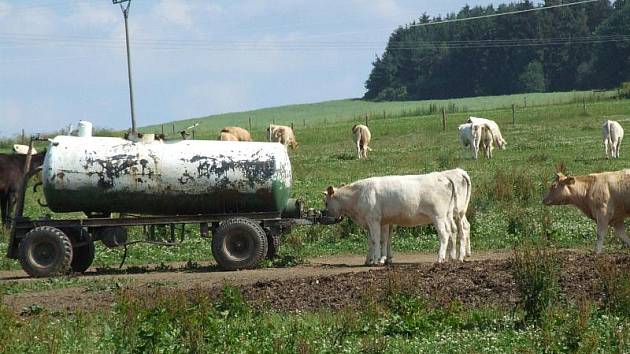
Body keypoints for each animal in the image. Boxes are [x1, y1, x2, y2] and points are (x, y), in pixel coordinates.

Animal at [324, 168, 472, 262]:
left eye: (325, 203)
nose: (324, 216)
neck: (358, 195)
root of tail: (444, 176)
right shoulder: (378, 222)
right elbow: (376, 241)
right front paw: (371, 259)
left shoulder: (374, 220)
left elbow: (377, 240)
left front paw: (377, 260)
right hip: (447, 215)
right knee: (454, 230)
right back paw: (453, 256)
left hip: (439, 216)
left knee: (445, 234)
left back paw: (441, 258)